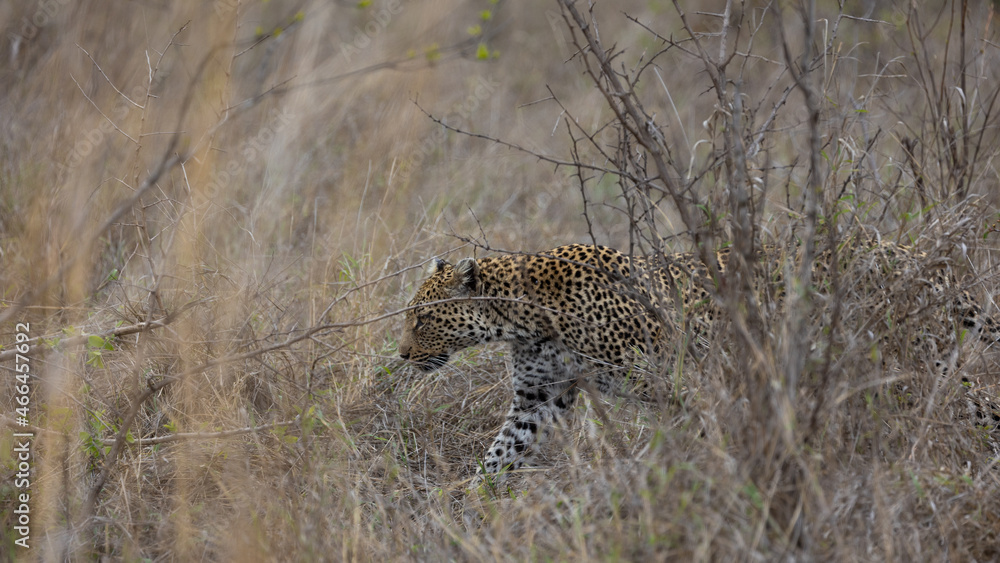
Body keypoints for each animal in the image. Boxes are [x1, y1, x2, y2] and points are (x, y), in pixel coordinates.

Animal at [399, 240, 1000, 475]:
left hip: (912, 373)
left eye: (423, 319)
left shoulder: (687, 381)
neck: (524, 318)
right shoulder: (537, 397)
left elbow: (715, 435)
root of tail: (915, 256)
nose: (402, 355)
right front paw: (466, 505)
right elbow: (500, 453)